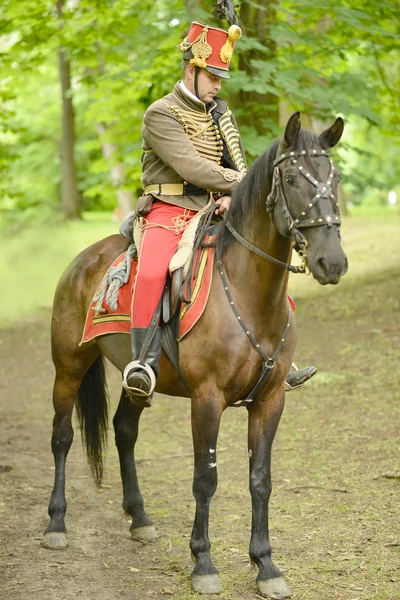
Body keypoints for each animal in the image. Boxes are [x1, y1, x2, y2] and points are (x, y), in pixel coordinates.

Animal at [43, 113, 348, 600]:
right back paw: (56, 523)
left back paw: (140, 518)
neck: (247, 291)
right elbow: (206, 479)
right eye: (291, 178)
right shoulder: (207, 399)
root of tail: (84, 260)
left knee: (124, 431)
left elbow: (260, 480)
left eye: (333, 179)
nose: (331, 262)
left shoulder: (270, 401)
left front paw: (266, 565)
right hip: (69, 367)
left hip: (135, 379)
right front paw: (203, 562)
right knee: (61, 437)